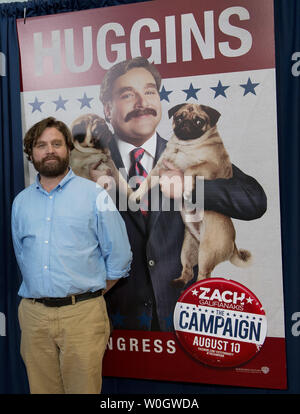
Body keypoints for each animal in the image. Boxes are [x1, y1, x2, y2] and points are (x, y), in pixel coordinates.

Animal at [131, 103, 251, 284]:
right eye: (179, 117)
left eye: (199, 121)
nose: (186, 123)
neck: (183, 146)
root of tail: (233, 244)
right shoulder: (160, 168)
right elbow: (147, 181)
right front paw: (136, 194)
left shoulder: (209, 166)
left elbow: (189, 169)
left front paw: (187, 188)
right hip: (187, 250)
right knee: (187, 271)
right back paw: (179, 282)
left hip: (207, 253)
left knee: (202, 274)